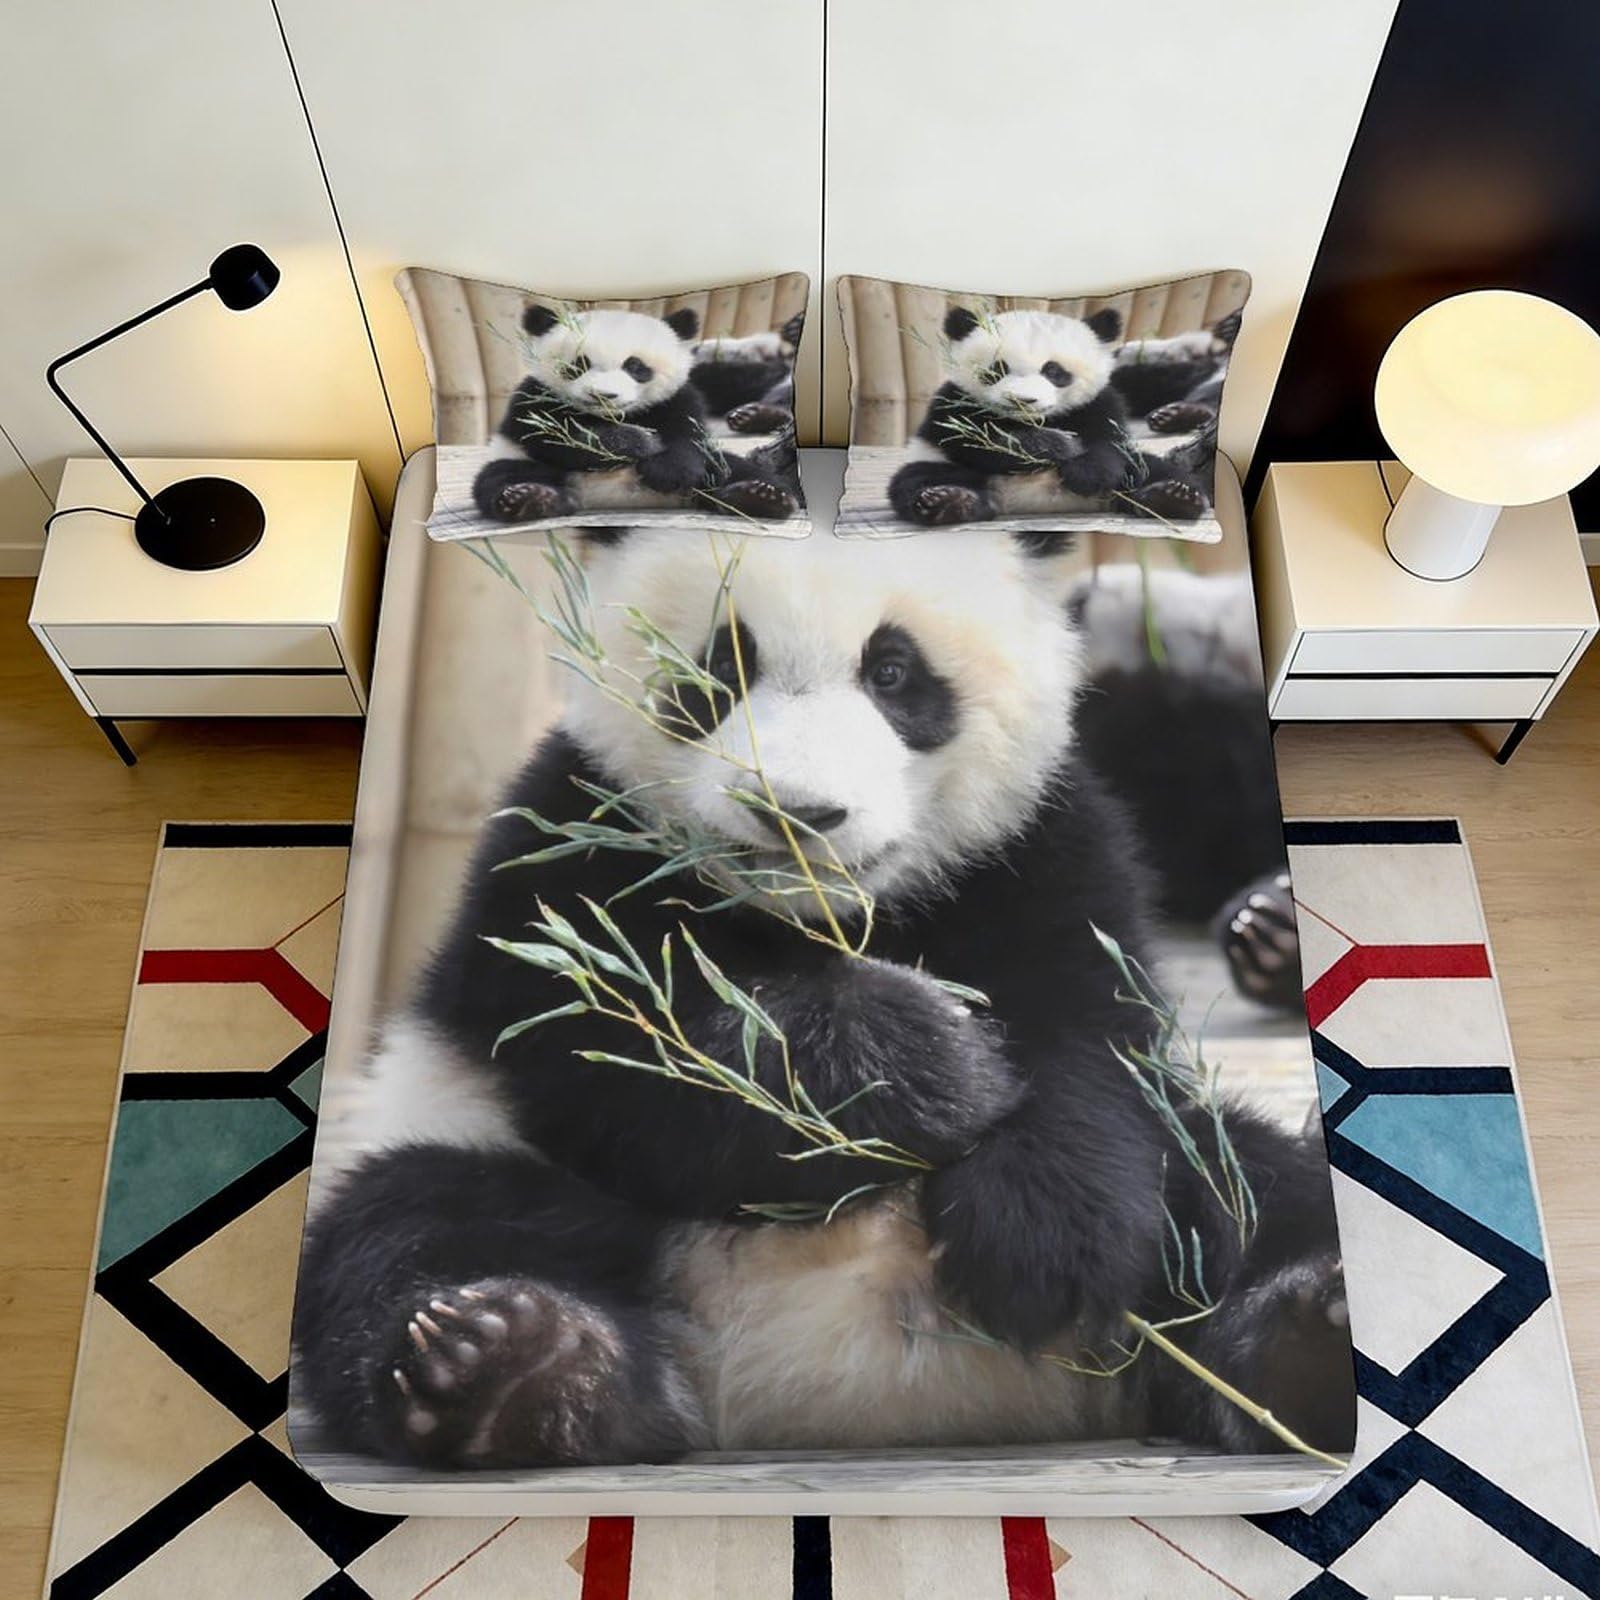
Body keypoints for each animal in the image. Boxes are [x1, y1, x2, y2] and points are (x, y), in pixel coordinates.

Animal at [292, 527, 1352, 1469]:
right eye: (722, 667)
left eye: (893, 671)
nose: (797, 814)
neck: (822, 917)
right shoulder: (570, 839)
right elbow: (614, 1055)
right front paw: (923, 1059)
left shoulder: (1040, 844)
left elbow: (1093, 1048)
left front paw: (1038, 1239)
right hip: (486, 1158)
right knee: (413, 1231)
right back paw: (515, 1369)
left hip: (1197, 1201)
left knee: (1253, 1194)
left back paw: (1305, 1343)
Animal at [472, 303, 800, 526]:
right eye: (579, 365)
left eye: (635, 366)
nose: (604, 396)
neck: (614, 417)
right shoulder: (534, 398)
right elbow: (552, 437)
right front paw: (637, 442)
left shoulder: (677, 399)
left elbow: (688, 437)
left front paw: (666, 471)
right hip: (524, 463)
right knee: (500, 478)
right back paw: (530, 499)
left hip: (715, 467)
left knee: (736, 470)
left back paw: (759, 497)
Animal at [888, 306, 1213, 529]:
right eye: (998, 369)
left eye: (1053, 371)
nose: (1023, 401)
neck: (1034, 421)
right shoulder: (954, 402)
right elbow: (972, 439)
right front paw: (1056, 446)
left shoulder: (1100, 404)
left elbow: (1109, 443)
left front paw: (1084, 473)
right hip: (941, 465)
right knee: (917, 480)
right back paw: (949, 501)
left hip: (1135, 472)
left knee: (1155, 471)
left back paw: (1172, 497)